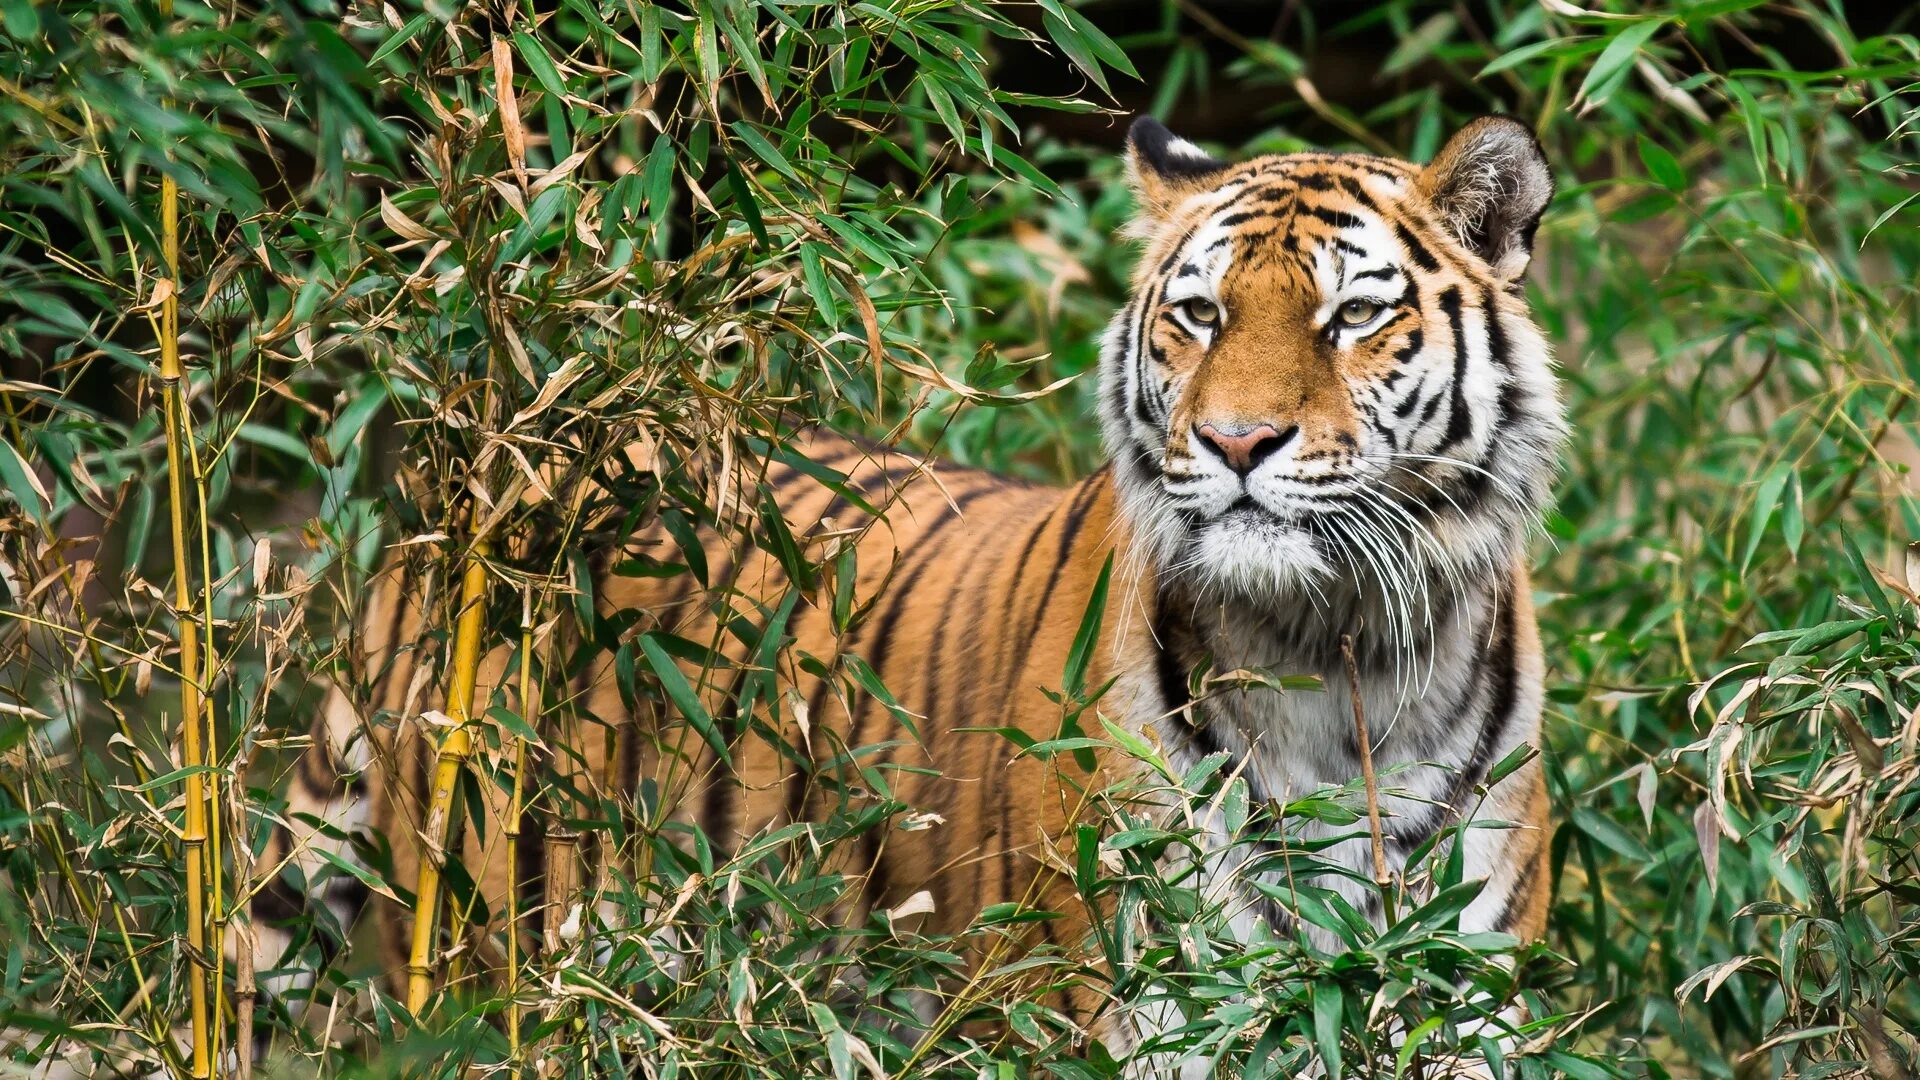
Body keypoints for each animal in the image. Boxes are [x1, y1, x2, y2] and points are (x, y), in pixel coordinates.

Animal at [255, 115, 1566, 1060]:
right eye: (1200, 314)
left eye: (1355, 314)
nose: (1238, 441)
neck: (1335, 658)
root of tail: (465, 504)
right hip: (496, 963)